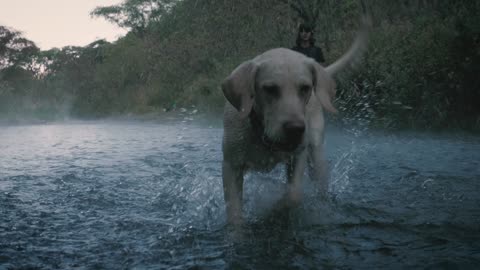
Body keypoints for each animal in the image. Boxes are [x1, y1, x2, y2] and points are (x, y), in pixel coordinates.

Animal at [222, 19, 372, 226]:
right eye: (270, 89)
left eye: (305, 88)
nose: (295, 129)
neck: (262, 135)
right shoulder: (231, 166)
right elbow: (234, 214)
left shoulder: (298, 156)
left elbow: (293, 196)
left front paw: (274, 211)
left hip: (316, 154)